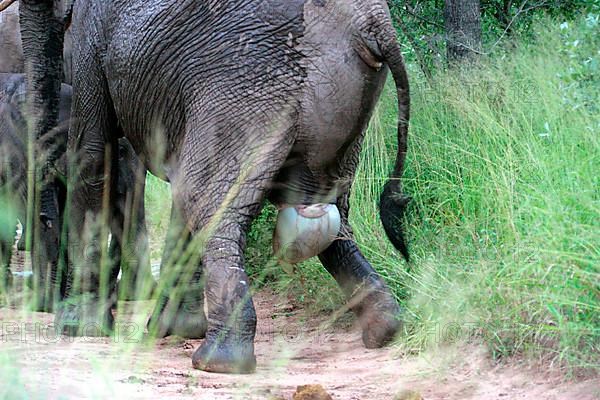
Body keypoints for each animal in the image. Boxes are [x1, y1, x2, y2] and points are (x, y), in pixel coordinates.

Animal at [19, 0, 412, 376]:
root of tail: (373, 21)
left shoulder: (92, 35)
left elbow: (91, 158)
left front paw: (79, 329)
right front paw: (170, 328)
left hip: (245, 86)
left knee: (209, 207)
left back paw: (220, 361)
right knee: (329, 217)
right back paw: (385, 328)